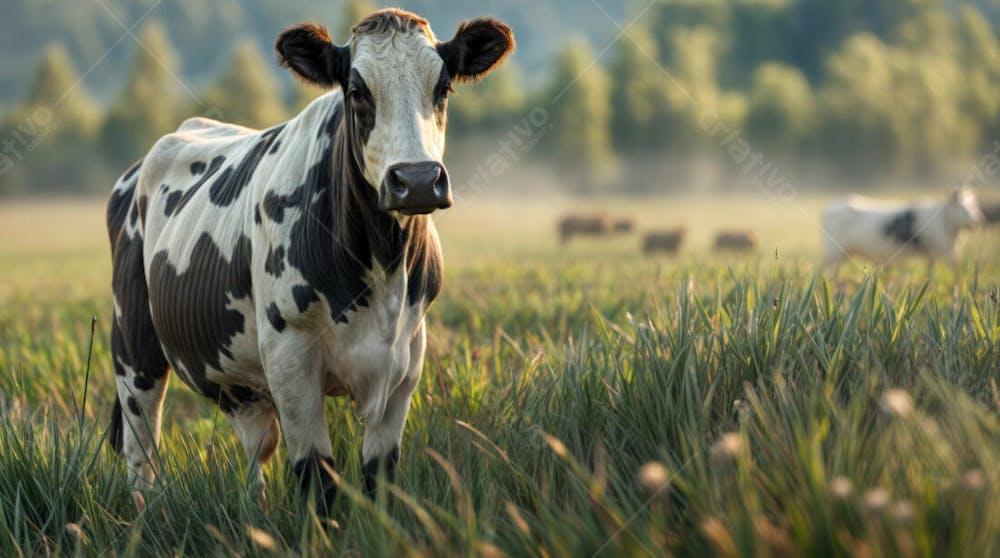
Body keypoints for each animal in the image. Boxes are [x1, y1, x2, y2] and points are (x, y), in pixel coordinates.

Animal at [107, 8, 516, 512]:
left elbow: (380, 478)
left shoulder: (405, 364)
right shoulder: (290, 361)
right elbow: (318, 479)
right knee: (141, 449)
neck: (383, 265)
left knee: (256, 445)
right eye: (357, 91)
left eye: (443, 87)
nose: (417, 180)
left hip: (242, 386)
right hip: (133, 347)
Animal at [820, 188, 984, 272]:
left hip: (842, 253)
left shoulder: (933, 254)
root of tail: (829, 209)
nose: (977, 221)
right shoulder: (940, 251)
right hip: (832, 252)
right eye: (962, 207)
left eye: (974, 206)